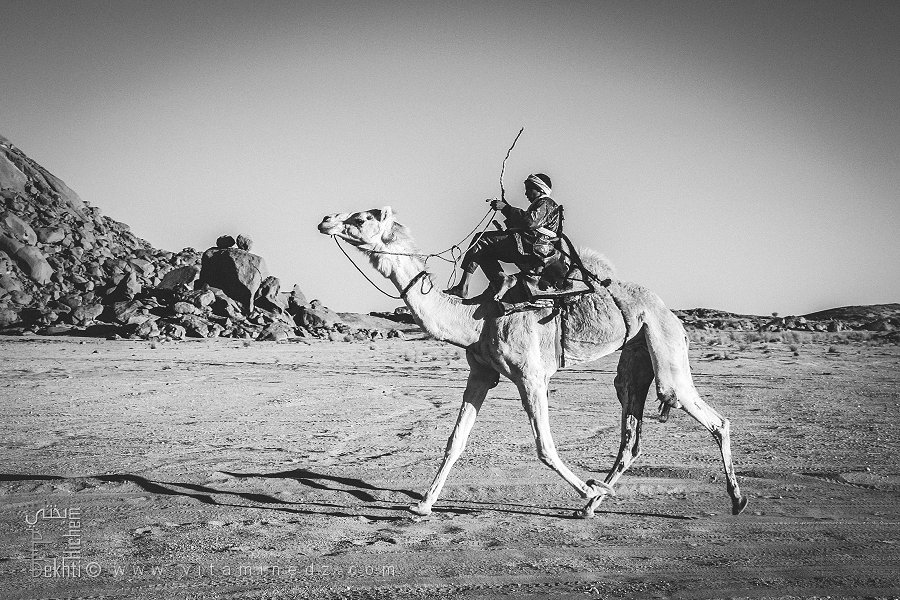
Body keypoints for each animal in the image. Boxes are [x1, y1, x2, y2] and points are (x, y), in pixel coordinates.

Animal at [317, 207, 747, 518]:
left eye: (362, 218)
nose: (325, 220)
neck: (476, 318)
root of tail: (667, 309)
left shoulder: (531, 375)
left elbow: (544, 446)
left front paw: (587, 485)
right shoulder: (481, 373)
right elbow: (455, 441)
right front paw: (422, 505)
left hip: (664, 339)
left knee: (705, 413)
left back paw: (736, 501)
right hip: (636, 353)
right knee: (629, 434)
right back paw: (591, 505)